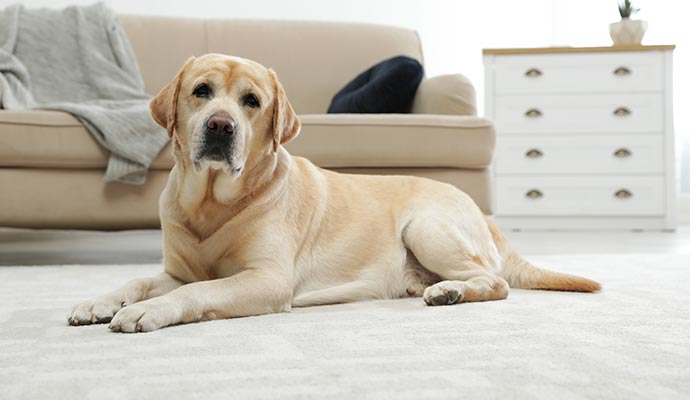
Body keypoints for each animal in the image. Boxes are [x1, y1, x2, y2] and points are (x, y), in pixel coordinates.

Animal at [67, 54, 600, 332]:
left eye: (251, 101)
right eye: (201, 91)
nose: (221, 126)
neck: (212, 204)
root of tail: (478, 210)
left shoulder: (267, 280)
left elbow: (199, 291)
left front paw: (146, 311)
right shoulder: (174, 270)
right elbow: (138, 280)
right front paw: (99, 301)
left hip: (427, 227)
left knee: (495, 281)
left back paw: (449, 291)